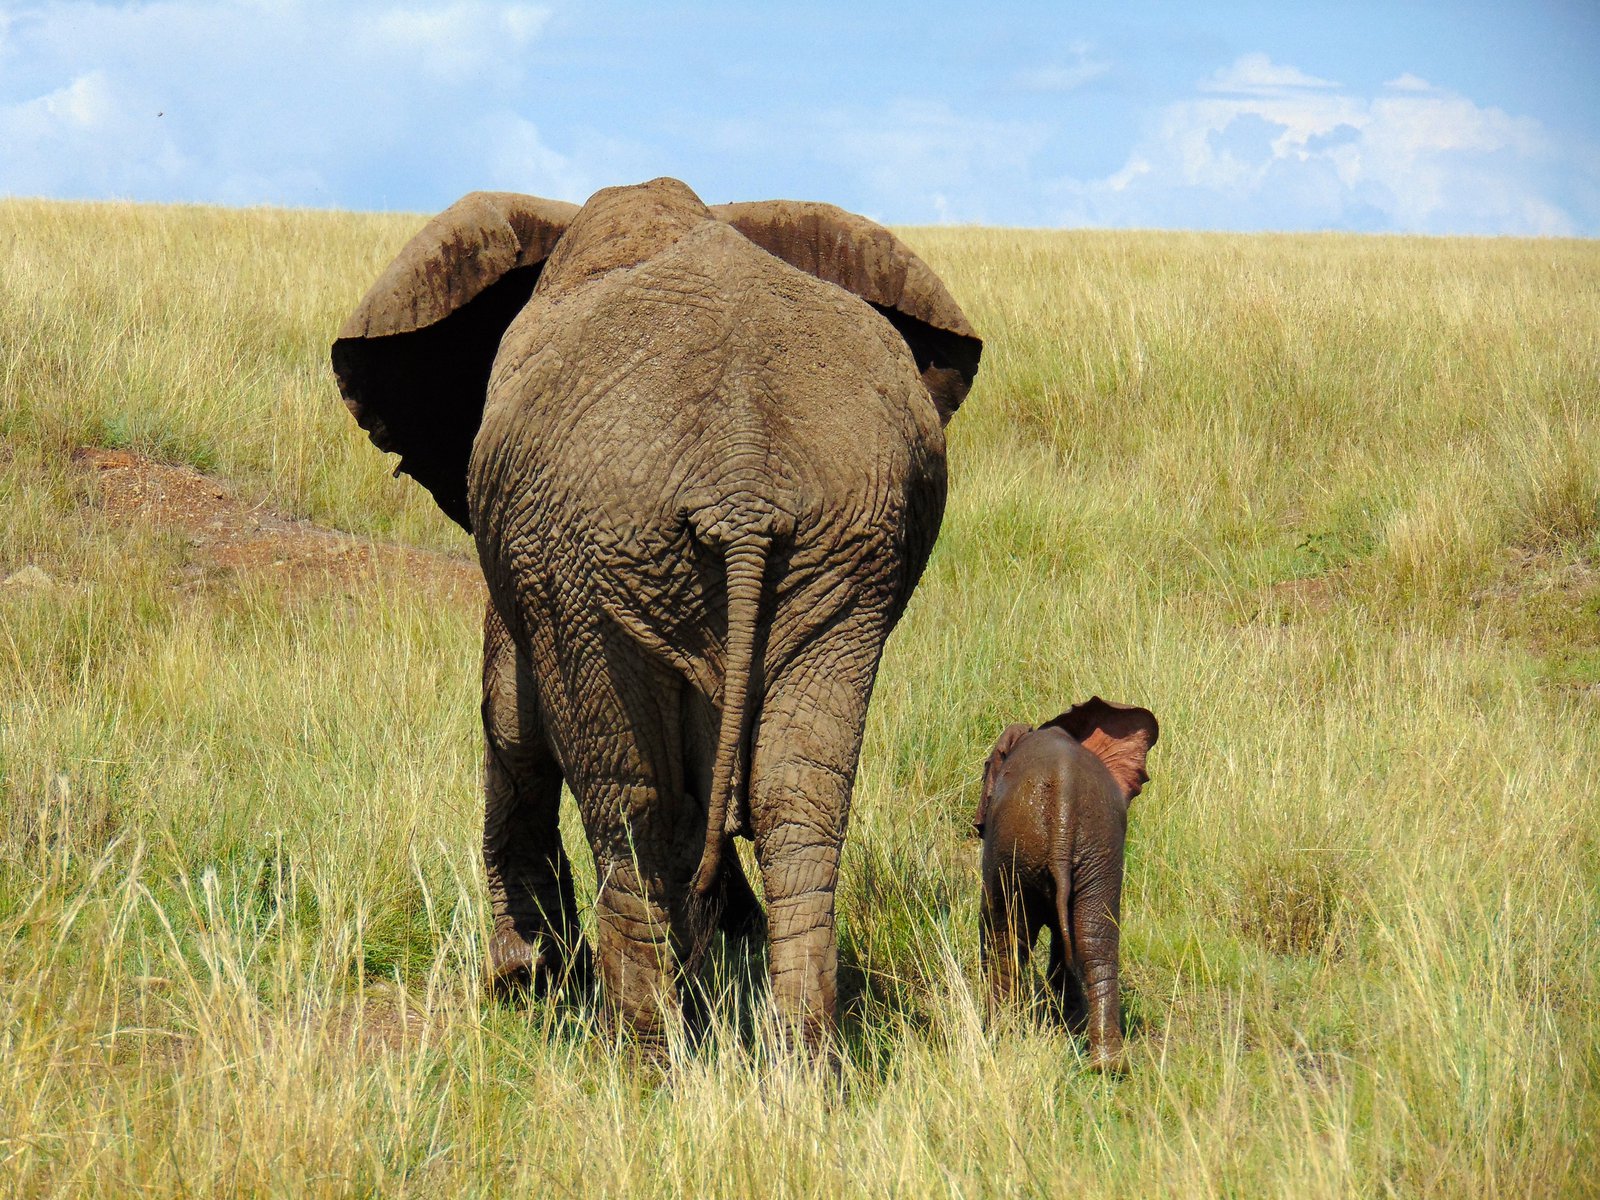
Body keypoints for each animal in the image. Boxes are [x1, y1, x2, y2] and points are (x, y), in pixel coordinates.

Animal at [331, 178, 979, 1049]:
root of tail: (743, 480)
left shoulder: (535, 567)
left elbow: (509, 718)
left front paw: (523, 977)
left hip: (590, 554)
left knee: (629, 798)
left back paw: (639, 1050)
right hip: (846, 547)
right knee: (797, 798)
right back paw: (800, 1056)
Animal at [972, 700, 1164, 1075]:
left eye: (987, 766)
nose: (976, 825)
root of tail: (1062, 815)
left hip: (1014, 850)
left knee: (1006, 936)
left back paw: (998, 1037)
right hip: (1098, 853)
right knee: (1096, 939)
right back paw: (1107, 1066)